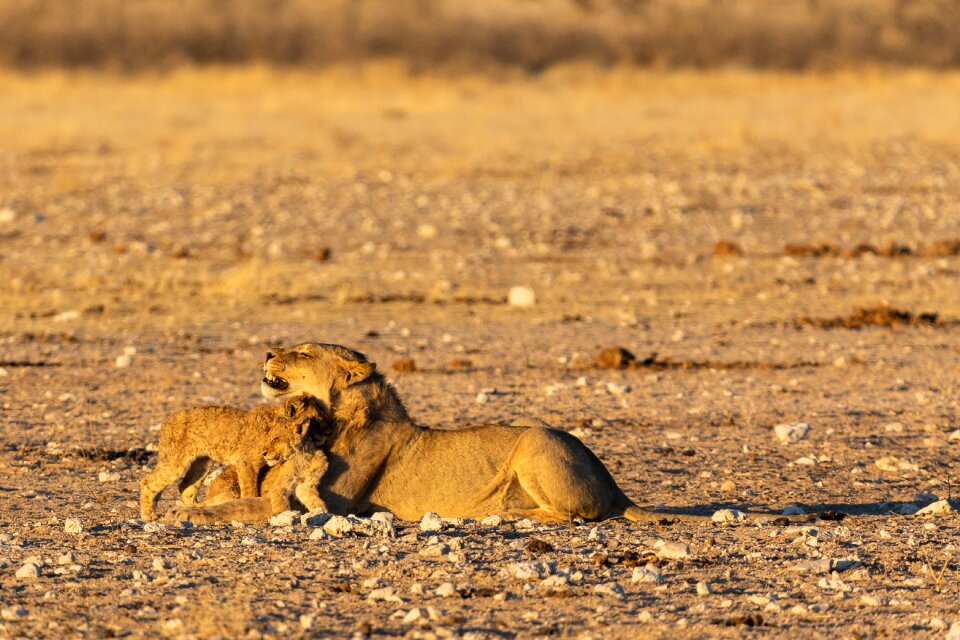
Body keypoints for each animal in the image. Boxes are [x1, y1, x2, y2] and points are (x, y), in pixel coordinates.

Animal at [167, 342, 704, 524]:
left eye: (302, 352)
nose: (266, 354)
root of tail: (613, 481)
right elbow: (230, 491)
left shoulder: (325, 503)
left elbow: (242, 506)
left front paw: (184, 514)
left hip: (535, 440)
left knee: (573, 514)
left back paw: (506, 515)